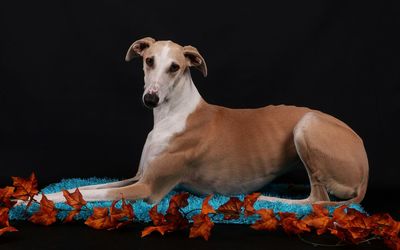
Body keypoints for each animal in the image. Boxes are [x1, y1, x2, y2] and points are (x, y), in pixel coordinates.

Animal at [18, 36, 368, 205]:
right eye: (149, 60)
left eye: (175, 67)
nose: (150, 99)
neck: (172, 115)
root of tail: (364, 167)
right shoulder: (137, 176)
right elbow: (83, 187)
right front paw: (30, 195)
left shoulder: (148, 188)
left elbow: (87, 194)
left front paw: (31, 201)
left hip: (306, 124)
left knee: (317, 200)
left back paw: (269, 199)